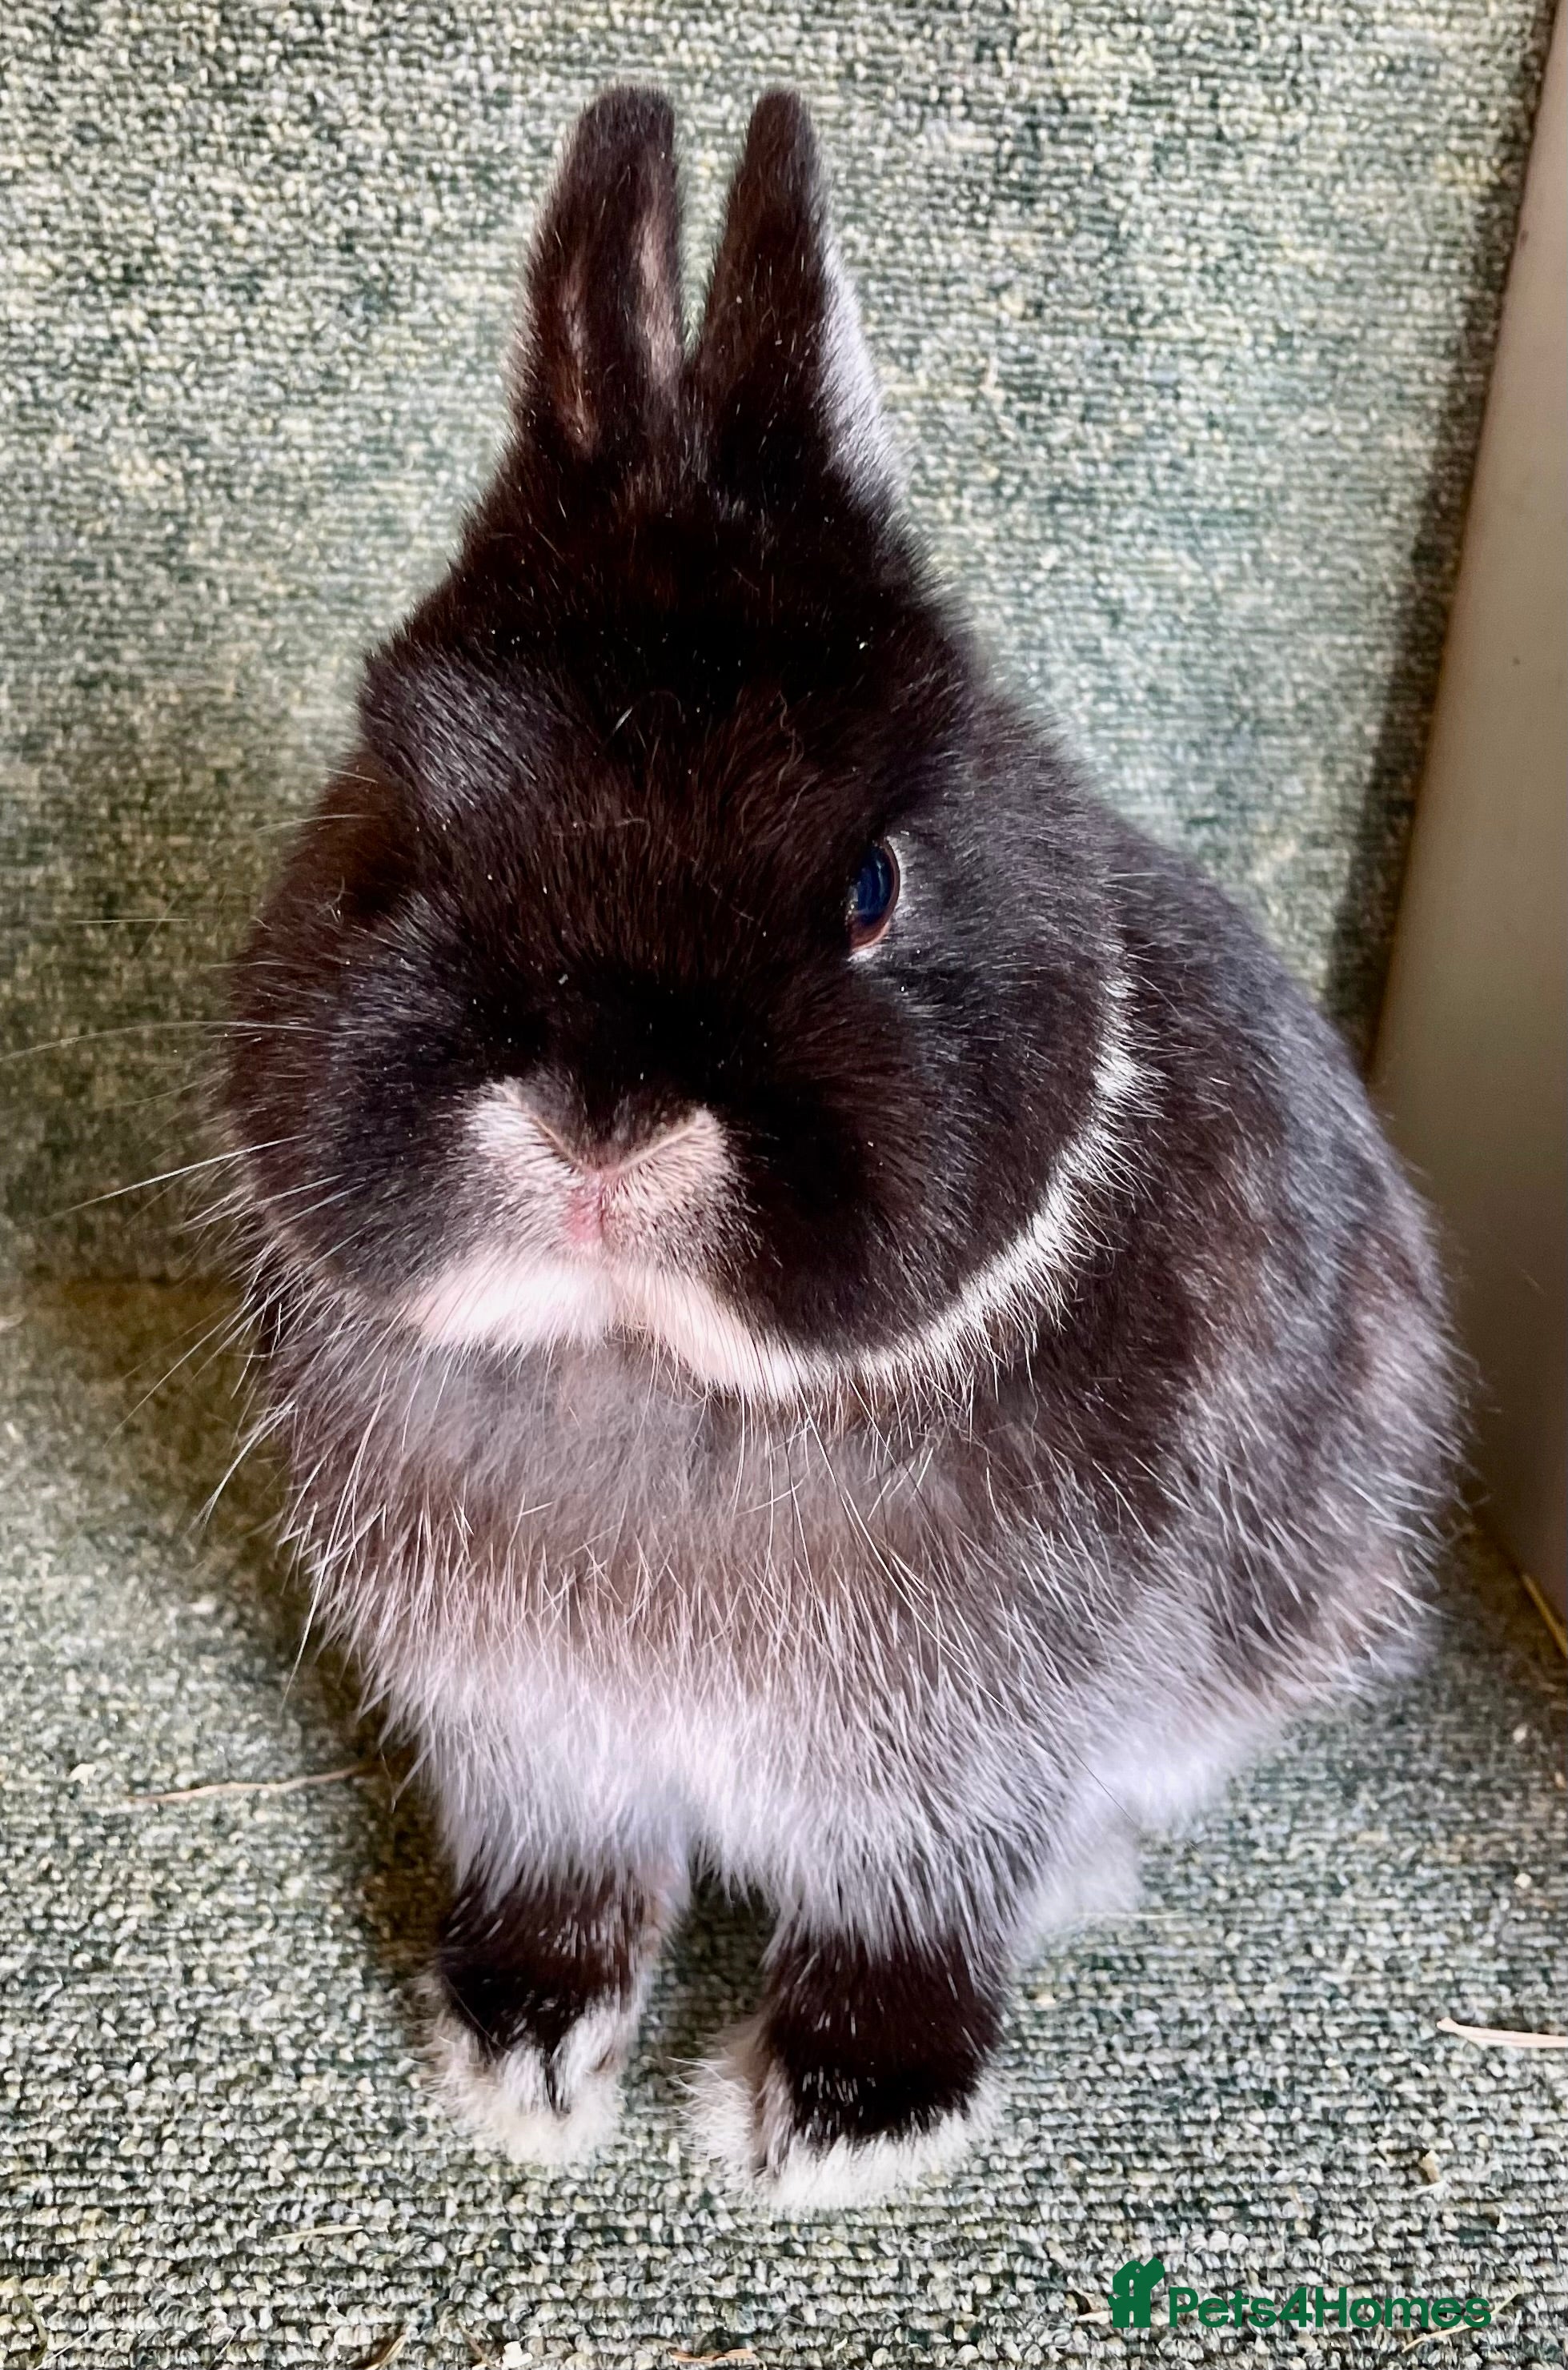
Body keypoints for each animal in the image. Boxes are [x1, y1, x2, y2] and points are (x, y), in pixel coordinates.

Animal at [223, 85, 1458, 2210]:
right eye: (392, 840)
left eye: (872, 889)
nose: (603, 1115)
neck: (643, 1378)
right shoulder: (530, 1740)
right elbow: (563, 1881)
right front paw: (522, 2046)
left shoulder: (956, 1755)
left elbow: (912, 1913)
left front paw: (839, 2119)